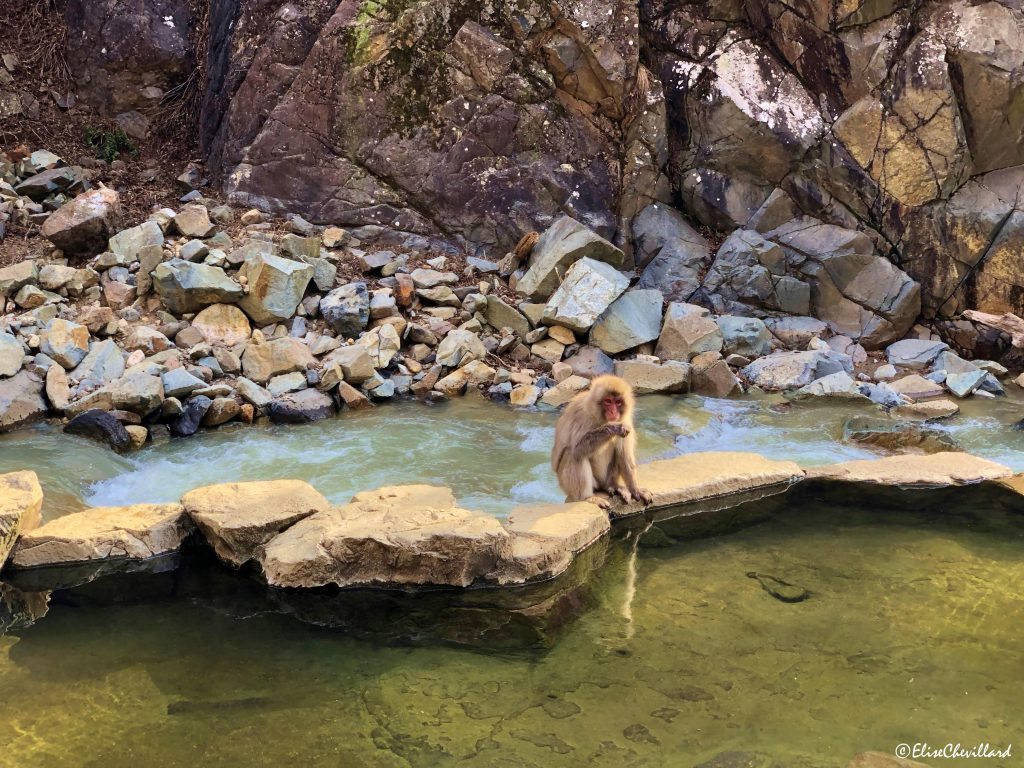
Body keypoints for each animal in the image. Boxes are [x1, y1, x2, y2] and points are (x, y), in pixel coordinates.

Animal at [552, 374, 655, 507]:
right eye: (608, 401)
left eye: (618, 402)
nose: (613, 412)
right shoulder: (580, 414)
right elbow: (577, 448)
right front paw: (614, 428)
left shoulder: (626, 419)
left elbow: (625, 455)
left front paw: (635, 489)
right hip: (572, 483)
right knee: (573, 454)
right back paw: (587, 498)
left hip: (607, 478)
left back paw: (614, 486)